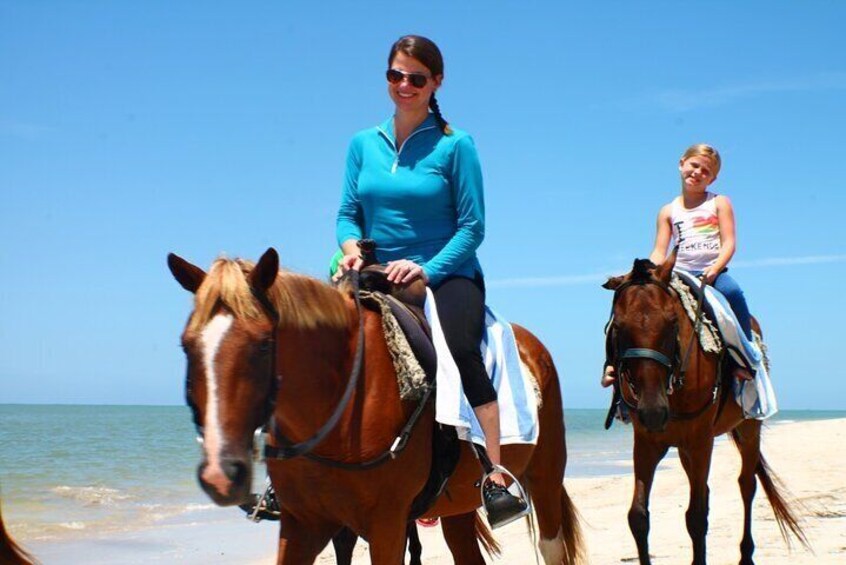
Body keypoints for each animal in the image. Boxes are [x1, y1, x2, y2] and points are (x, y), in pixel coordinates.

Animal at [170, 249, 588, 564]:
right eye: (187, 345)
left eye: (263, 346)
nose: (221, 475)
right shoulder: (303, 524)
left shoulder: (386, 525)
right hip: (458, 509)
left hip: (546, 476)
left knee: (552, 547)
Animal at [604, 253, 808, 560]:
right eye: (617, 327)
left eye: (672, 322)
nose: (653, 411)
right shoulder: (647, 443)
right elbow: (638, 516)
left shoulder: (701, 441)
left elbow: (696, 517)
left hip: (748, 430)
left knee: (746, 485)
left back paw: (746, 553)